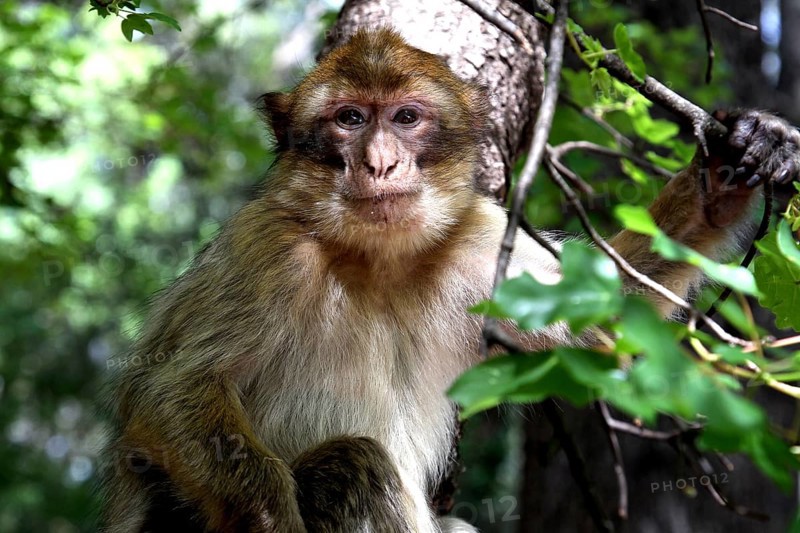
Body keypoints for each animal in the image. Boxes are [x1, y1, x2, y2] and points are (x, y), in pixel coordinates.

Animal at [101, 28, 800, 533]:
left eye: (406, 117)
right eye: (350, 119)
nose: (381, 163)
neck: (377, 261)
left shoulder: (480, 242)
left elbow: (610, 315)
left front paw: (737, 160)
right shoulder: (268, 248)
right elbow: (170, 391)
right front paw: (273, 520)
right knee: (355, 467)